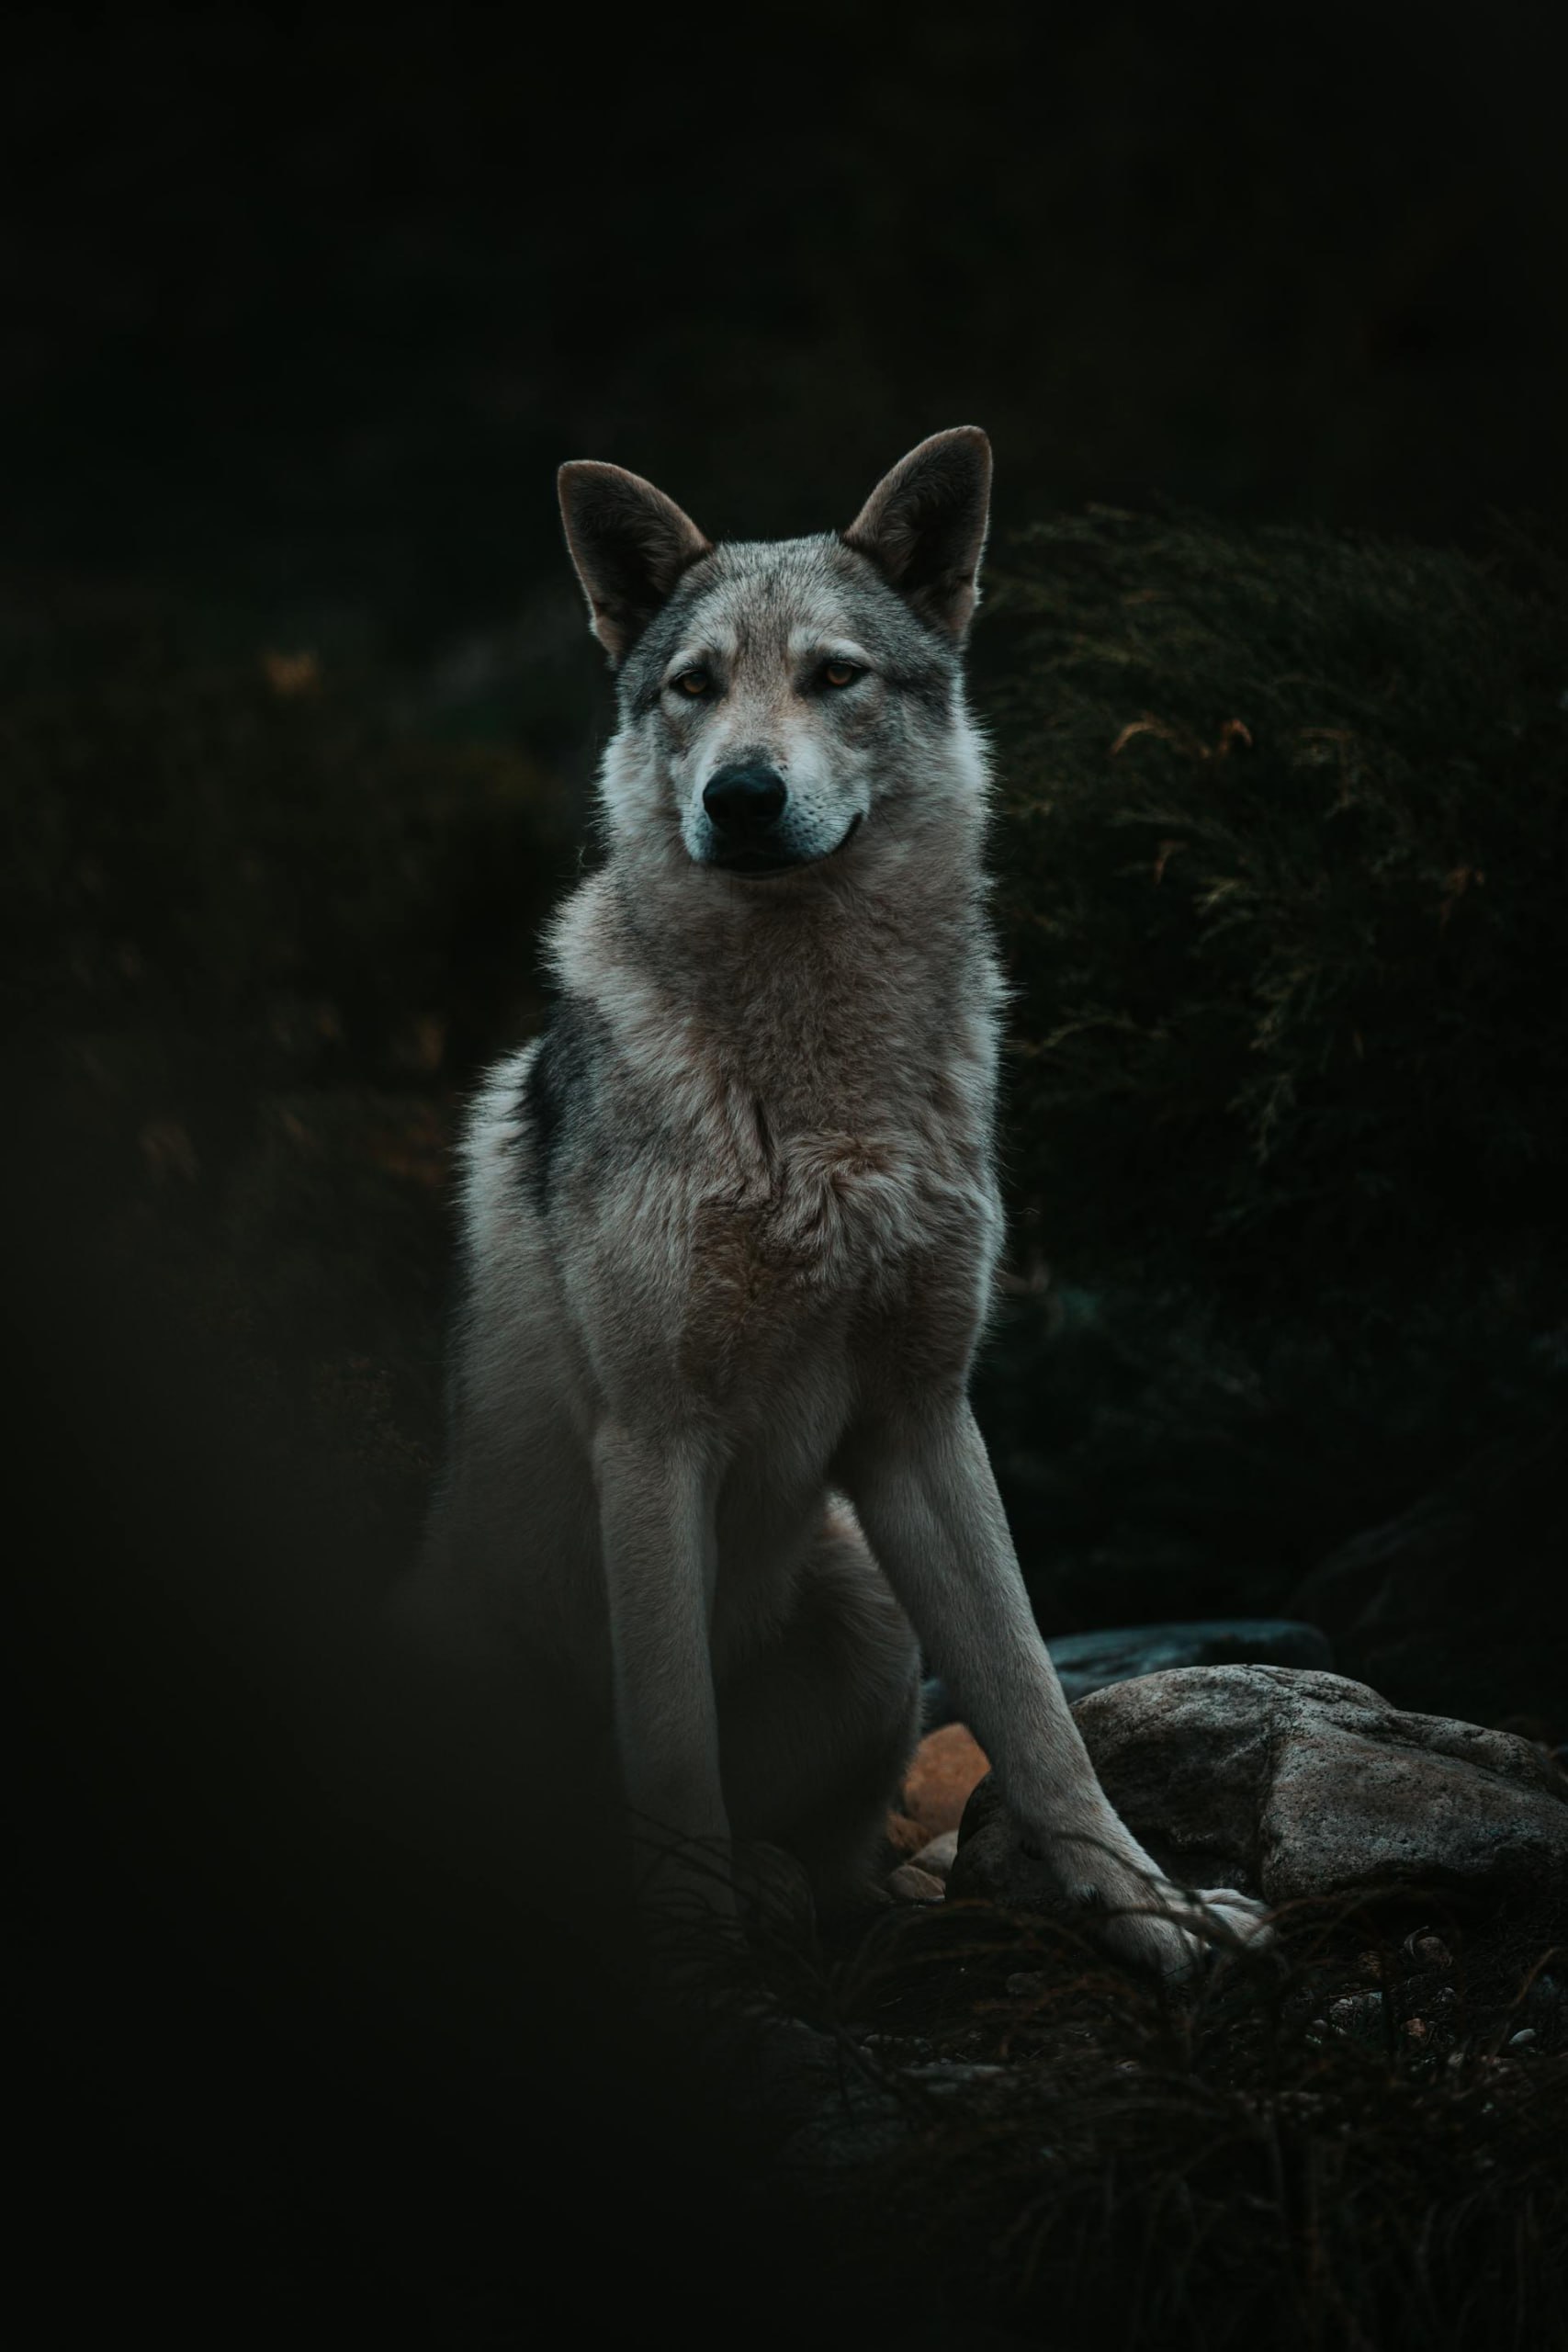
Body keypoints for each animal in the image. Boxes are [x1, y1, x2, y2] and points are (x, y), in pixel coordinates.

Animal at [399, 428, 1269, 1980]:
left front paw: (1151, 1912)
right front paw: (691, 1952)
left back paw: (814, 1890)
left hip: (865, 1607)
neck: (815, 1100)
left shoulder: (921, 1424)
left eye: (833, 675)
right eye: (692, 686)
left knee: (854, 1860)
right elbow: (669, 1737)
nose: (739, 795)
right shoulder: (653, 1440)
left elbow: (1036, 1714)